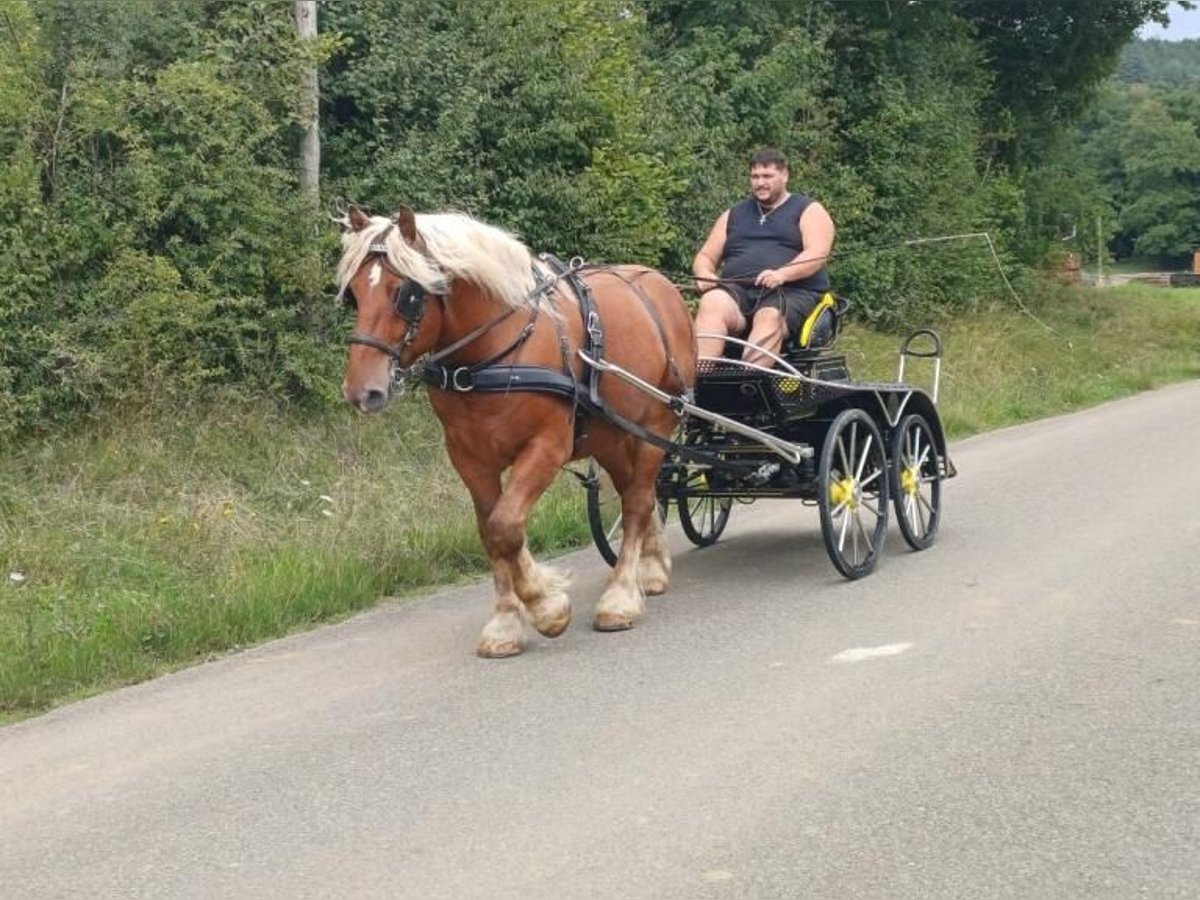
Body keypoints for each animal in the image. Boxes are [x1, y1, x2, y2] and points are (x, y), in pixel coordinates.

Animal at [337, 205, 697, 657]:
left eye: (406, 293)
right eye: (353, 293)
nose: (361, 391)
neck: (493, 352)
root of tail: (660, 284)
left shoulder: (547, 447)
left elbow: (505, 526)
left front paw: (546, 608)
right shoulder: (468, 458)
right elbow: (491, 532)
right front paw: (507, 622)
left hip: (656, 423)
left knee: (635, 503)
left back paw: (620, 597)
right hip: (612, 434)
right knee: (642, 495)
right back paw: (650, 570)